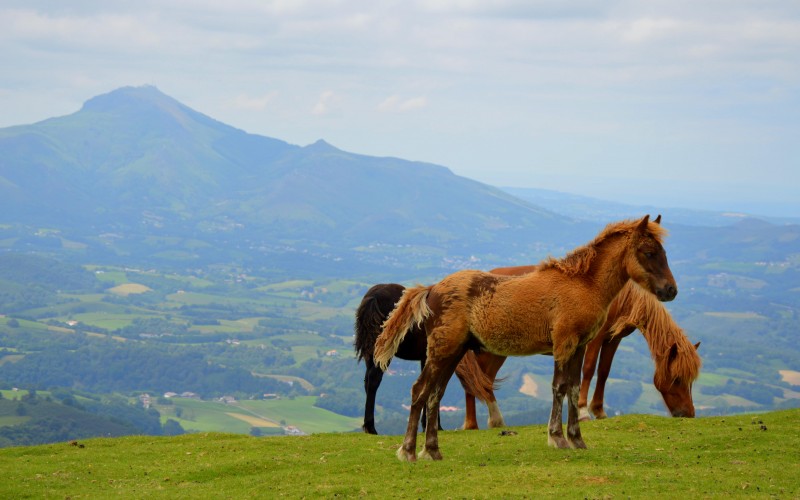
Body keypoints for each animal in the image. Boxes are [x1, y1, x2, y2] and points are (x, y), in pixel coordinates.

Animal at [354, 284, 494, 436]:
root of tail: (374, 297)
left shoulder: (425, 359)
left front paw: (426, 423)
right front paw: (434, 425)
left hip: (371, 353)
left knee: (367, 381)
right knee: (374, 379)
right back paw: (371, 427)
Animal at [376, 215, 676, 460]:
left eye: (664, 252)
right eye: (649, 252)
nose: (670, 290)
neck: (583, 284)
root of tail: (432, 289)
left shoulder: (579, 346)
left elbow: (574, 387)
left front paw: (577, 439)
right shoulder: (564, 343)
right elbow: (559, 387)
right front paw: (557, 438)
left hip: (453, 353)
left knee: (435, 394)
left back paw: (433, 451)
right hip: (442, 351)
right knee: (420, 391)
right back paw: (408, 451)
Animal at [460, 282, 704, 430]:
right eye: (677, 379)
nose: (689, 414)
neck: (622, 297)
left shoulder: (612, 339)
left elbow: (604, 371)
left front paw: (599, 410)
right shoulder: (594, 339)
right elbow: (588, 370)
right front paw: (585, 411)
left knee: (482, 380)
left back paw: (491, 421)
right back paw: (474, 424)